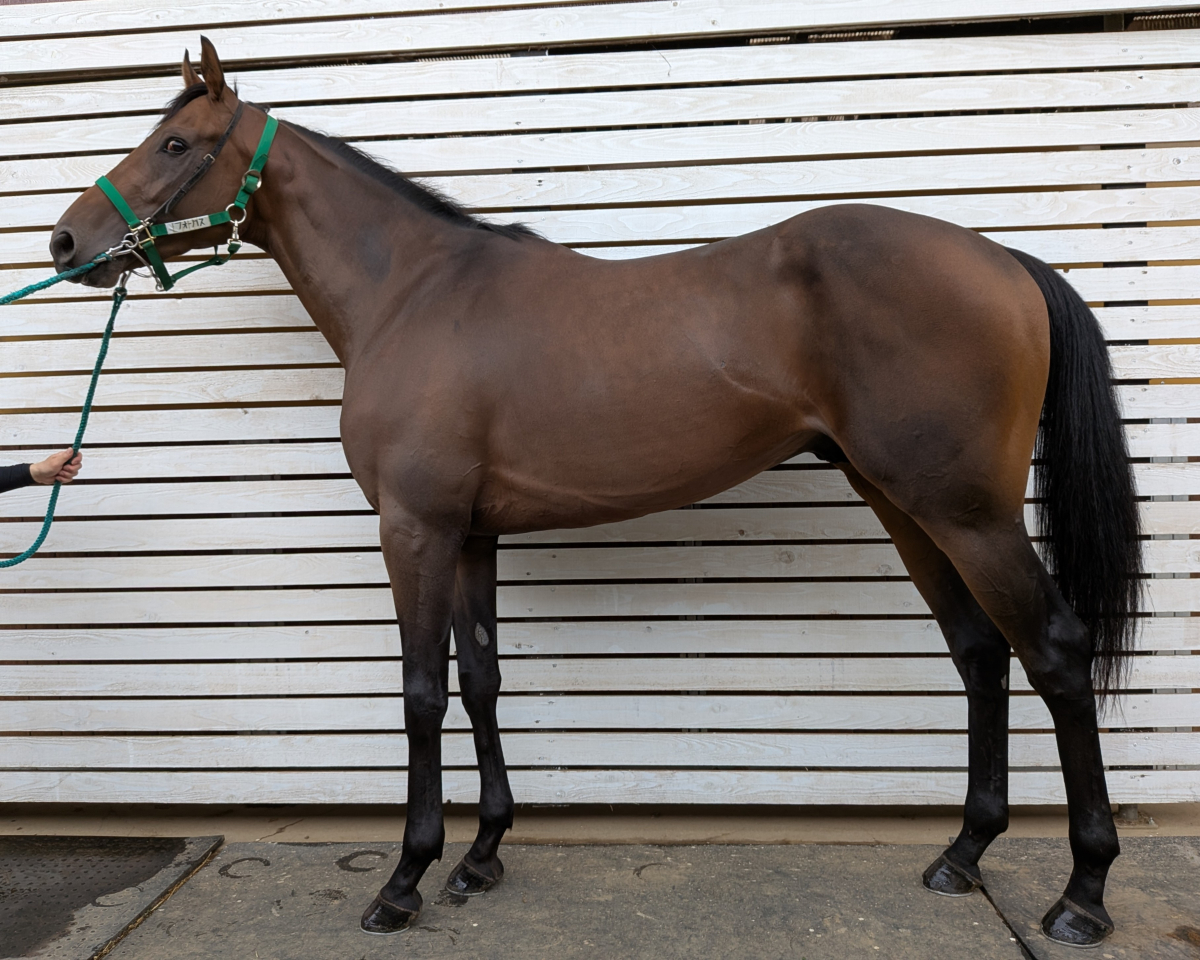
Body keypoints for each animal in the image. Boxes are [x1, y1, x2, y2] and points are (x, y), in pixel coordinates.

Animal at [49, 38, 1142, 947]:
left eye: (175, 141)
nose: (63, 244)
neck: (412, 293)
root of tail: (1002, 258)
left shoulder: (415, 528)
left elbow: (421, 692)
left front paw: (405, 879)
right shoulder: (471, 535)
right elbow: (482, 679)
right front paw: (482, 857)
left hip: (966, 511)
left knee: (1052, 652)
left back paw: (1083, 895)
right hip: (906, 502)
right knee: (980, 653)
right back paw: (964, 855)